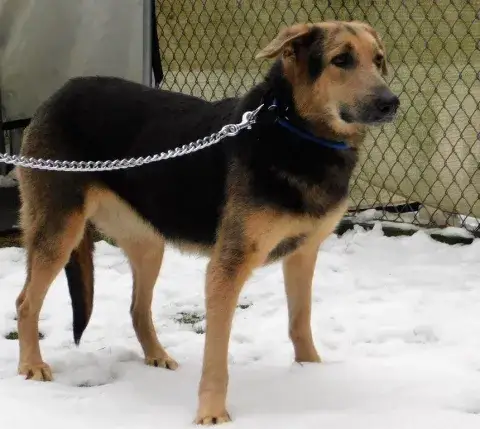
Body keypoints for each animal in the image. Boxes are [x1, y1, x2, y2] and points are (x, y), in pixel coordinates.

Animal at [14, 20, 399, 424]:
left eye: (378, 60)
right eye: (341, 60)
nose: (392, 103)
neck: (294, 129)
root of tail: (59, 92)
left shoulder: (303, 255)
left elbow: (300, 322)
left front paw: (310, 373)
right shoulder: (226, 268)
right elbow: (216, 356)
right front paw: (212, 412)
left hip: (148, 244)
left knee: (137, 309)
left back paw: (157, 356)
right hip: (59, 232)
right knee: (25, 302)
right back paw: (31, 365)